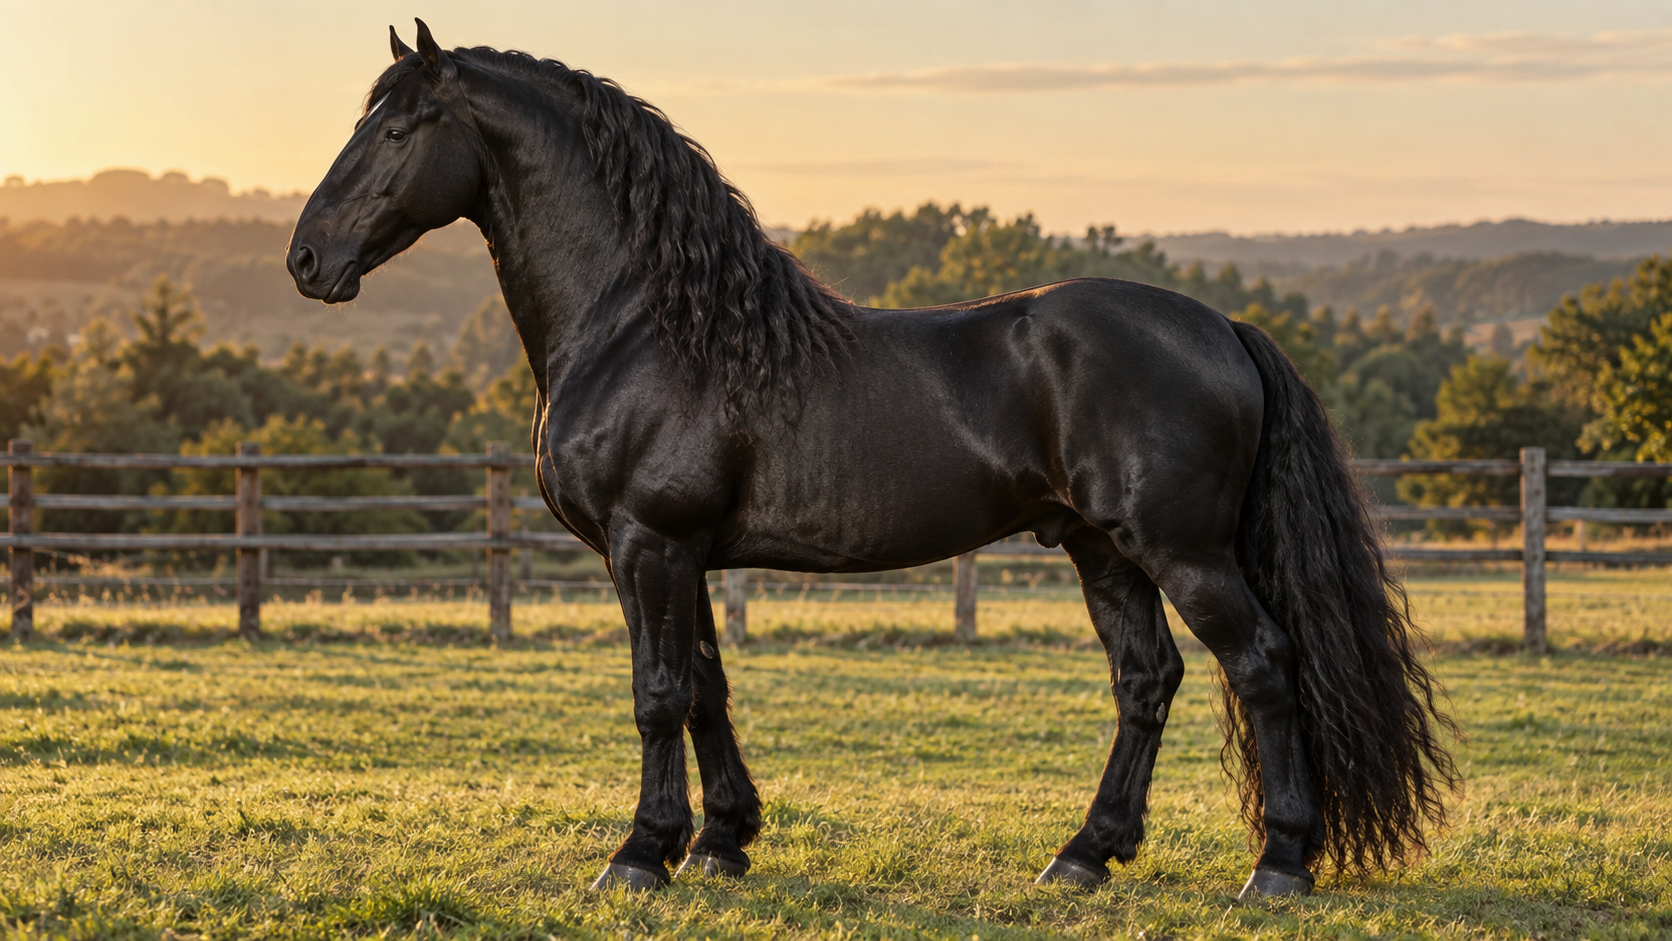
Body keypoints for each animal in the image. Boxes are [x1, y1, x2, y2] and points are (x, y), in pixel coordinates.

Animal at [288, 20, 1459, 899]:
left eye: (399, 126)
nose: (306, 258)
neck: (646, 326)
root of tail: (1222, 327)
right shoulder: (685, 553)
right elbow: (707, 686)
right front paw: (722, 842)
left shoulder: (647, 543)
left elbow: (658, 691)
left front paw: (639, 854)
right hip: (1103, 548)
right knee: (1147, 678)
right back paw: (1084, 854)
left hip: (1184, 550)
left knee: (1260, 663)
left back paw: (1279, 864)